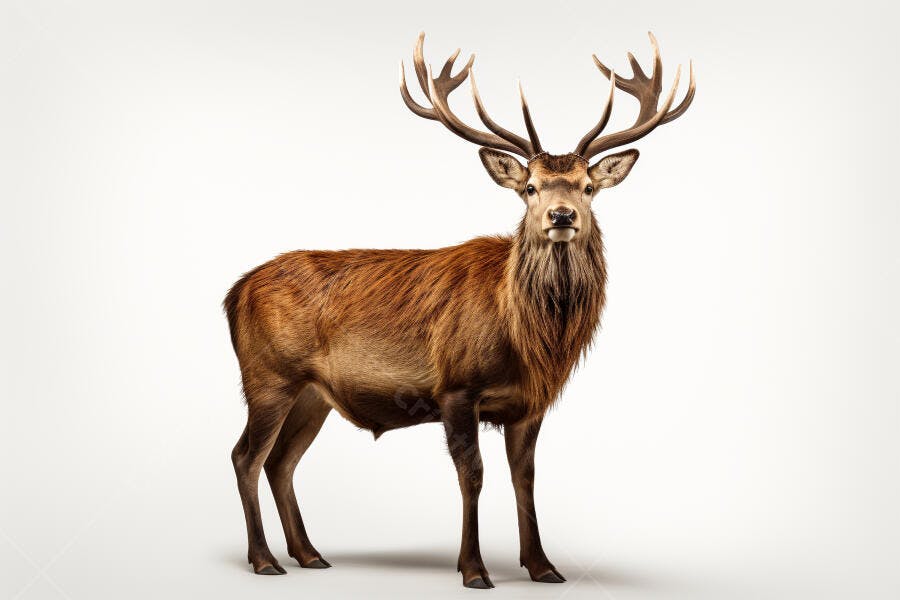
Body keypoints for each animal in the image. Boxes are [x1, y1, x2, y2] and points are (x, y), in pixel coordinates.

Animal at [224, 31, 695, 588]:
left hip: (313, 394)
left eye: (588, 187)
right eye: (530, 187)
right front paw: (473, 569)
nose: (562, 216)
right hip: (268, 376)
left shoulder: (530, 403)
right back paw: (264, 559)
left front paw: (543, 565)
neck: (529, 340)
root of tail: (235, 291)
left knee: (281, 462)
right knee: (246, 456)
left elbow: (525, 478)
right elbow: (473, 476)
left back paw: (308, 553)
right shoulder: (455, 387)